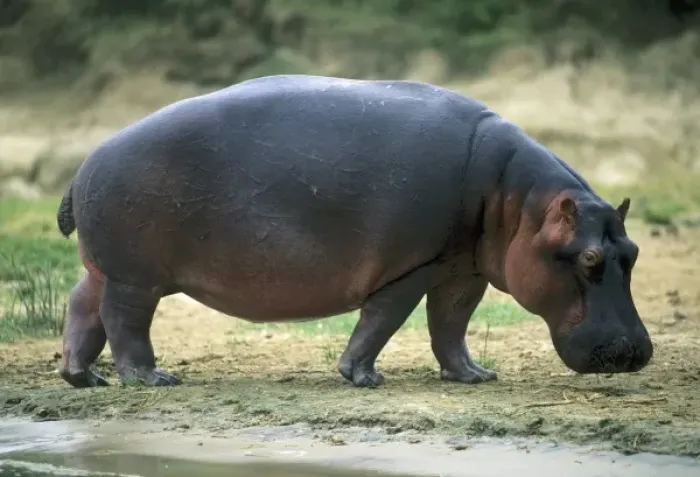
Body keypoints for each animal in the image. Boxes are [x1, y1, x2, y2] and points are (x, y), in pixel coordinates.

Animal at [56, 74, 653, 389]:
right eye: (588, 259)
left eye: (633, 250)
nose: (635, 353)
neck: (517, 200)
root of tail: (83, 165)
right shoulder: (413, 266)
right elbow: (384, 319)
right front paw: (363, 377)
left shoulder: (463, 270)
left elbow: (451, 325)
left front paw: (475, 375)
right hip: (136, 276)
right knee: (125, 322)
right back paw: (151, 379)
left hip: (104, 266)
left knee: (82, 307)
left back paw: (82, 378)